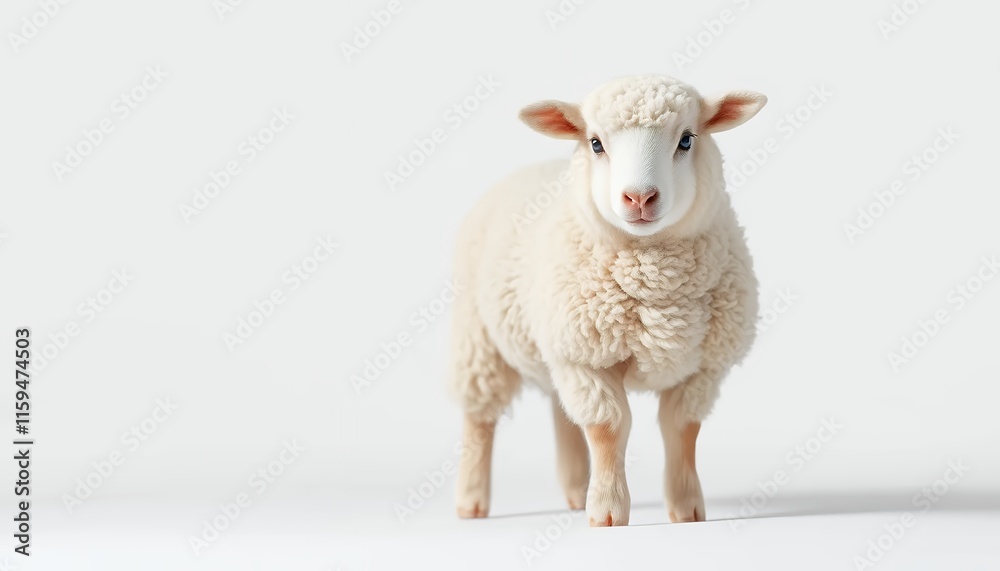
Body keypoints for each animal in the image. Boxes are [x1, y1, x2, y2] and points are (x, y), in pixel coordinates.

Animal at [448, 75, 766, 527]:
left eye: (687, 140)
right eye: (596, 143)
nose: (639, 198)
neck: (654, 281)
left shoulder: (702, 368)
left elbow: (682, 430)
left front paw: (686, 509)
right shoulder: (585, 358)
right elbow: (608, 428)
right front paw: (608, 512)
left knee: (562, 411)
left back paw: (575, 489)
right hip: (478, 337)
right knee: (479, 418)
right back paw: (471, 502)